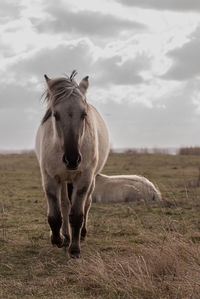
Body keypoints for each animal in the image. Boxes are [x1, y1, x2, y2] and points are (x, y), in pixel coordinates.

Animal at [34, 71, 109, 258]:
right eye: (55, 114)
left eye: (83, 114)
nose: (72, 159)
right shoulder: (50, 177)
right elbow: (55, 215)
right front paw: (58, 239)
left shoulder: (84, 178)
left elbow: (77, 215)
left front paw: (74, 249)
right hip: (63, 180)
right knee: (65, 205)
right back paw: (66, 236)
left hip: (90, 179)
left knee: (87, 203)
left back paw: (80, 234)